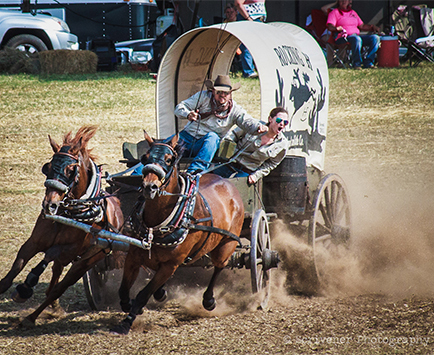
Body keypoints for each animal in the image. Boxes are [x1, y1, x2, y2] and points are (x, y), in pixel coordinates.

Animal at [0, 126, 124, 328]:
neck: (67, 214)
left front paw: (25, 287)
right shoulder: (33, 243)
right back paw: (52, 307)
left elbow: (47, 257)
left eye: (71, 169)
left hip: (86, 262)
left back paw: (31, 317)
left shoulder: (69, 251)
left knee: (58, 288)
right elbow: (13, 271)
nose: (50, 205)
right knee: (54, 279)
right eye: (48, 167)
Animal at [111, 133, 244, 336]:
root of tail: (228, 183)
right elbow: (124, 290)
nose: (149, 187)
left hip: (226, 245)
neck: (155, 224)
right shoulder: (133, 256)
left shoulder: (170, 265)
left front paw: (126, 322)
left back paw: (208, 300)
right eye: (145, 157)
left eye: (168, 159)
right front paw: (132, 305)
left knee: (220, 266)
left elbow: (143, 295)